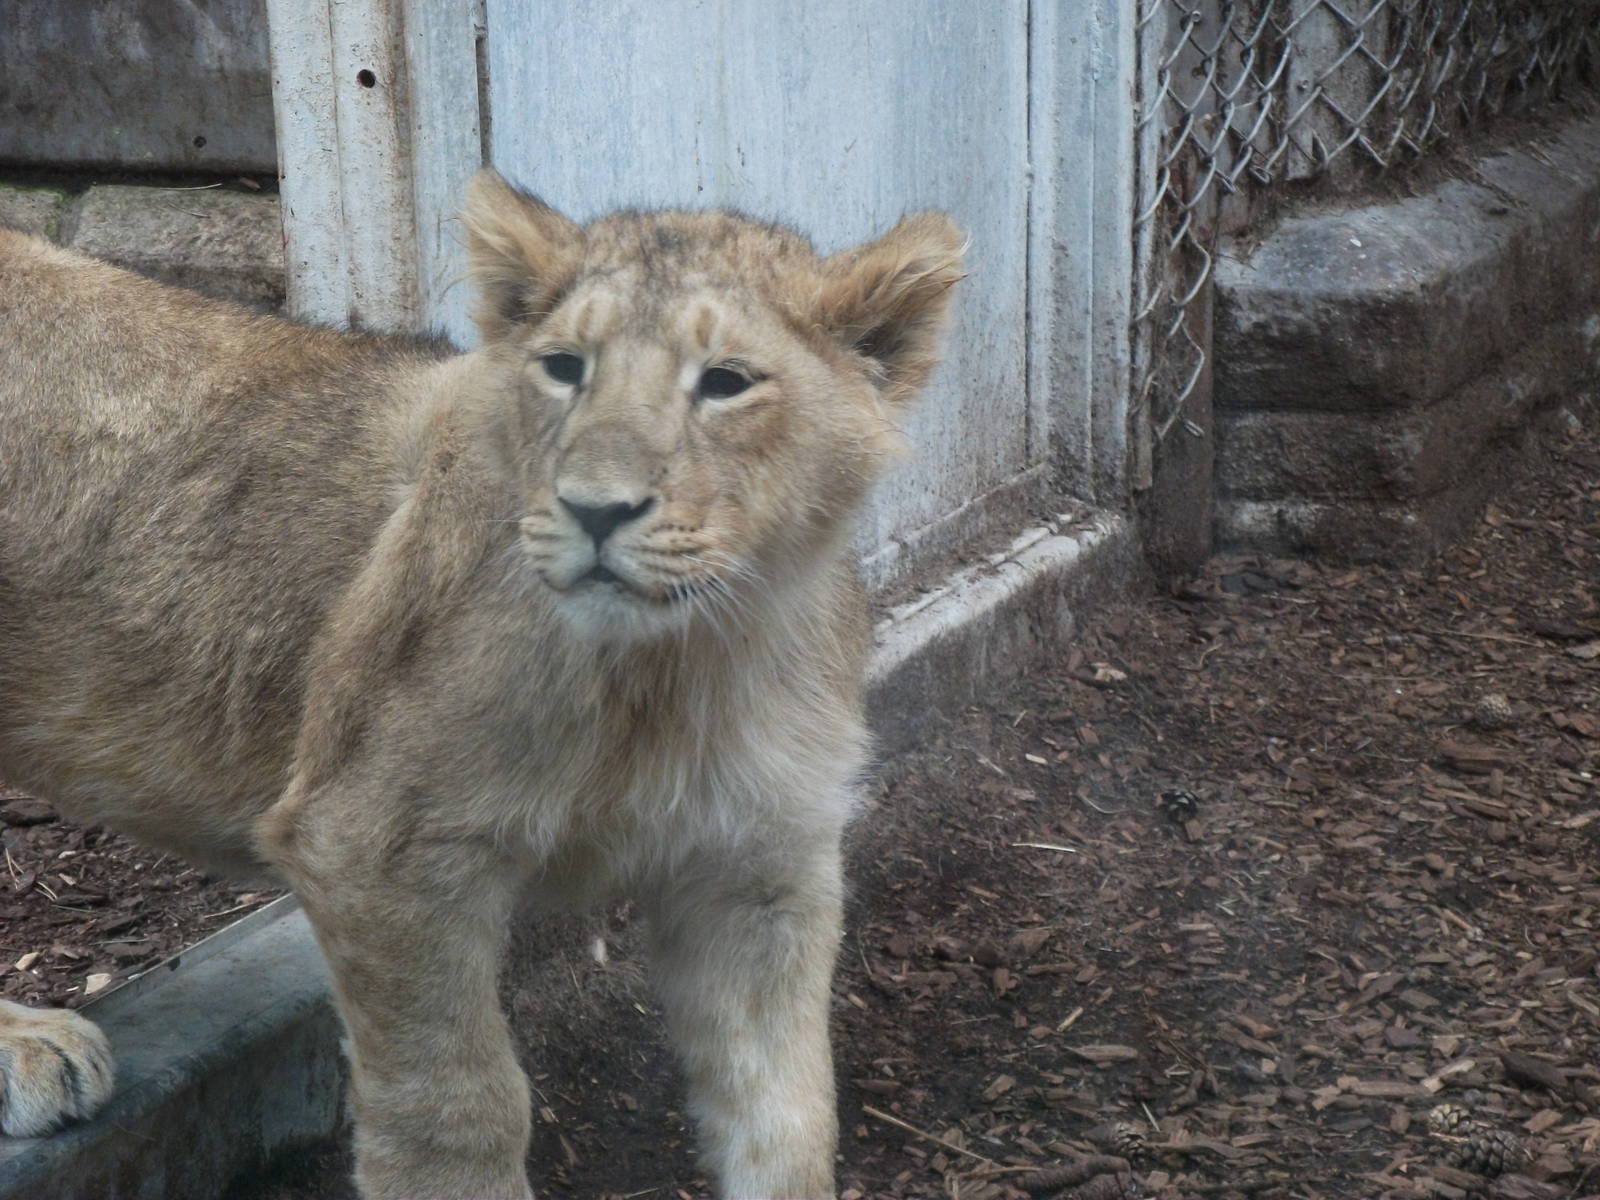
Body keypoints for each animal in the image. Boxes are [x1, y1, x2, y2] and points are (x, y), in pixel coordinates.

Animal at [0, 170, 964, 1199]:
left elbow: (786, 1116)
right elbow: (456, 1106)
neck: (682, 664)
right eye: (564, 367)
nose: (594, 510)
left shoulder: (760, 866)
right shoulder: (375, 846)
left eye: (726, 382)